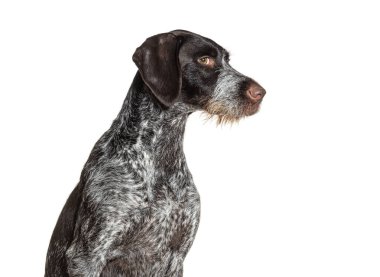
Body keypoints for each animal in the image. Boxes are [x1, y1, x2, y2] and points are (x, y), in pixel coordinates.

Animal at [45, 29, 264, 274]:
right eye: (204, 60)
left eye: (227, 61)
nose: (260, 93)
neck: (160, 154)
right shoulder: (87, 255)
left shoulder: (176, 256)